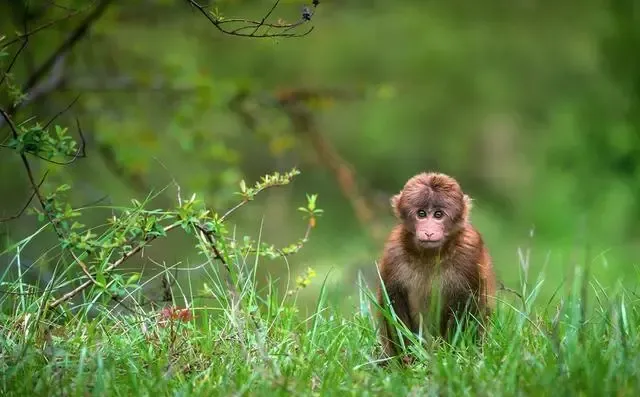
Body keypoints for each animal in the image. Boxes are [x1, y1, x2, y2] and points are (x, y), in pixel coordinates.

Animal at [378, 172, 498, 360]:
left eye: (438, 214)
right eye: (421, 214)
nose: (428, 231)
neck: (431, 256)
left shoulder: (469, 251)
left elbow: (468, 302)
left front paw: (451, 355)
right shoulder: (394, 251)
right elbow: (392, 298)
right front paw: (407, 357)